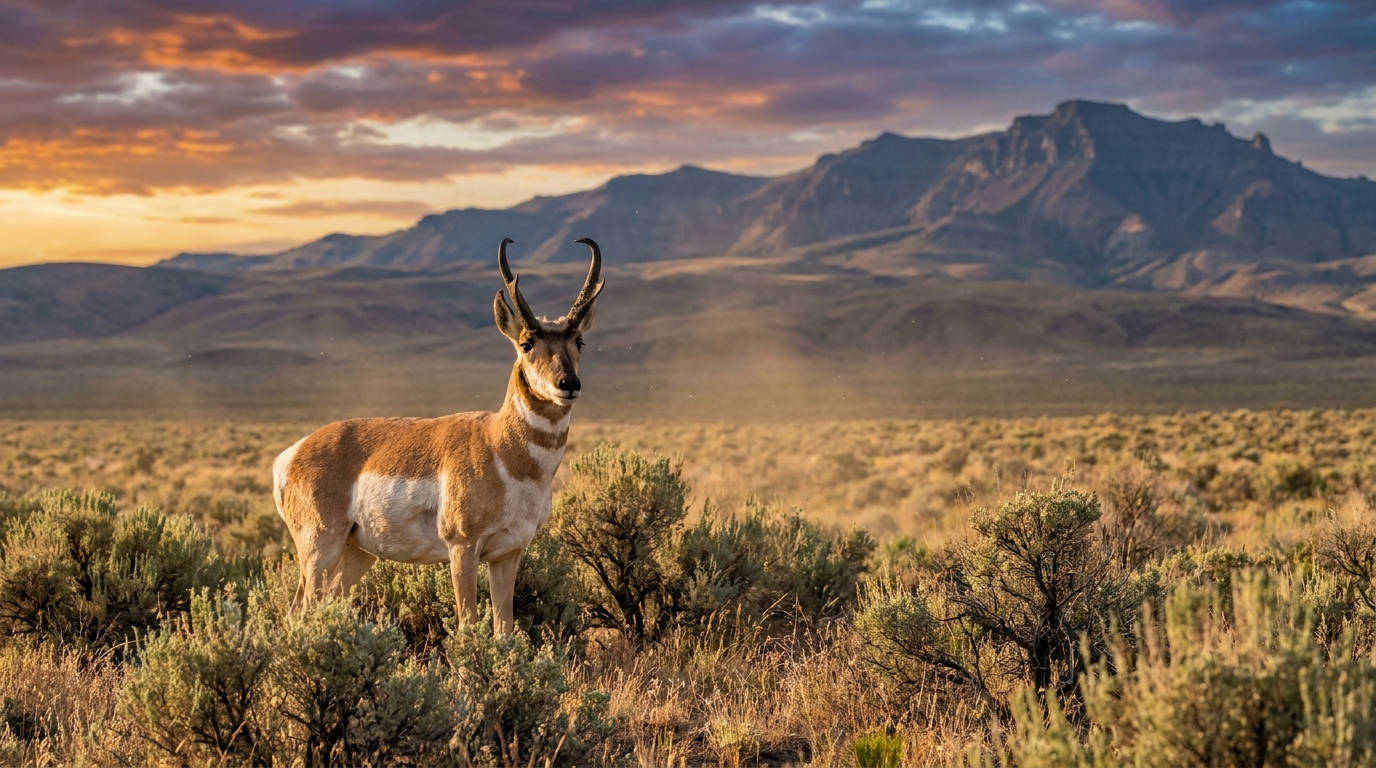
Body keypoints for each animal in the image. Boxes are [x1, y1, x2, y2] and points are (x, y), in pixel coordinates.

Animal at [271, 237, 602, 634]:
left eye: (579, 342)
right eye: (526, 344)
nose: (568, 384)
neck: (501, 448)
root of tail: (291, 454)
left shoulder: (507, 554)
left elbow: (504, 629)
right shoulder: (463, 549)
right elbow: (468, 624)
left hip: (358, 553)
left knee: (321, 605)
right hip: (320, 549)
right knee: (299, 612)